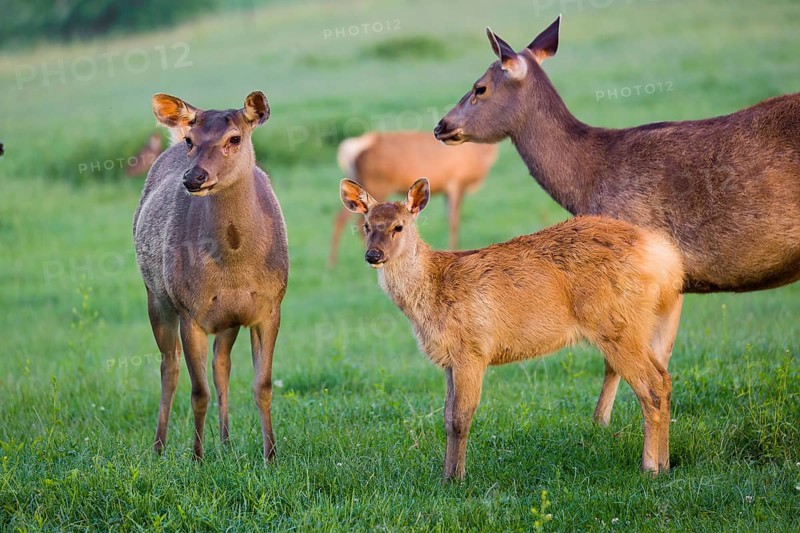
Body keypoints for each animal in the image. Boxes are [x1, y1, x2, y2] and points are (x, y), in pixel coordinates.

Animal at [133, 91, 289, 461]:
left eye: (235, 138)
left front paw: (271, 455)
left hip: (228, 318)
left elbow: (262, 385)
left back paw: (226, 440)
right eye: (191, 140)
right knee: (169, 366)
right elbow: (198, 392)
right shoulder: (190, 310)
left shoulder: (270, 306)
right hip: (156, 295)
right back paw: (159, 447)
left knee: (221, 364)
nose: (194, 177)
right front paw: (196, 457)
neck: (234, 269)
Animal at [340, 177, 684, 480]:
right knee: (665, 378)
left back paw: (650, 468)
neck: (432, 291)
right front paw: (445, 474)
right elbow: (447, 417)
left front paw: (456, 479)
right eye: (367, 225)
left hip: (615, 323)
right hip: (635, 325)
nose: (373, 255)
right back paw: (666, 464)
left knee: (651, 386)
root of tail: (663, 259)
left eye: (399, 227)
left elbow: (462, 418)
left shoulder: (472, 349)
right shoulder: (450, 359)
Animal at [434, 16, 800, 427]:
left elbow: (619, 361)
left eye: (479, 87)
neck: (590, 180)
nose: (441, 125)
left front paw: (600, 422)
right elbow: (660, 356)